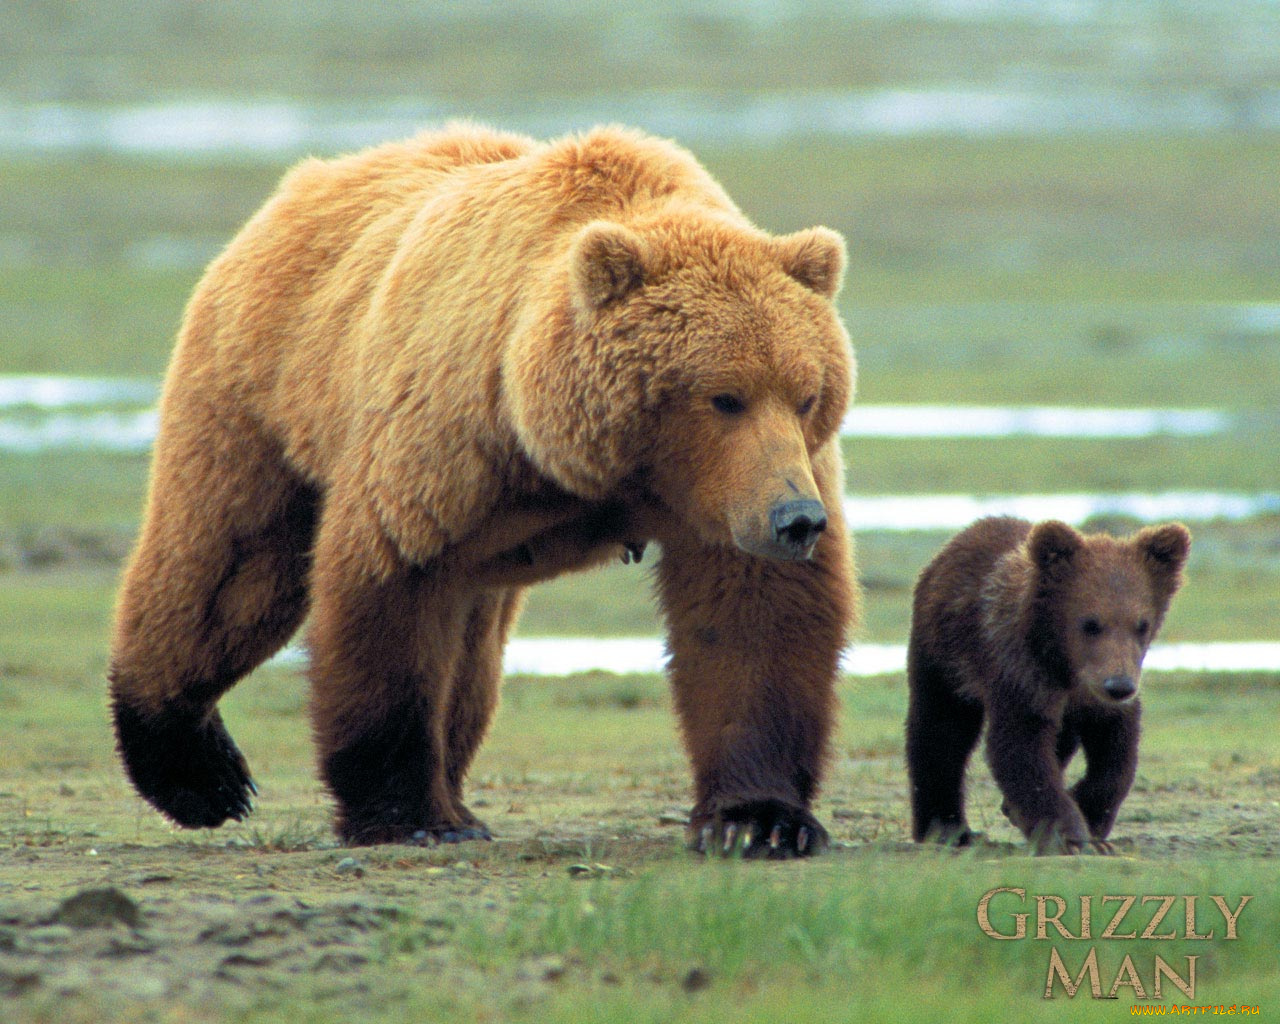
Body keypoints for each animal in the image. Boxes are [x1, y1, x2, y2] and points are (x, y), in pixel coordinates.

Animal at [107, 123, 859, 859]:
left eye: (806, 393)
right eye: (724, 396)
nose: (796, 518)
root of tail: (308, 180)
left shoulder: (734, 493)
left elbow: (752, 619)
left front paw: (759, 820)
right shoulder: (449, 443)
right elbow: (391, 595)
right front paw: (407, 814)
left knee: (469, 656)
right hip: (263, 392)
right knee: (227, 572)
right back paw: (198, 773)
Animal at [905, 516, 1190, 854]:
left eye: (1141, 625)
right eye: (1090, 623)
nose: (1118, 685)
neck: (1065, 665)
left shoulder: (1104, 695)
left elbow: (1117, 753)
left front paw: (1090, 818)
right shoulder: (1022, 674)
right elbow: (1020, 748)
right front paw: (1067, 836)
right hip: (945, 655)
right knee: (941, 729)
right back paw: (946, 828)